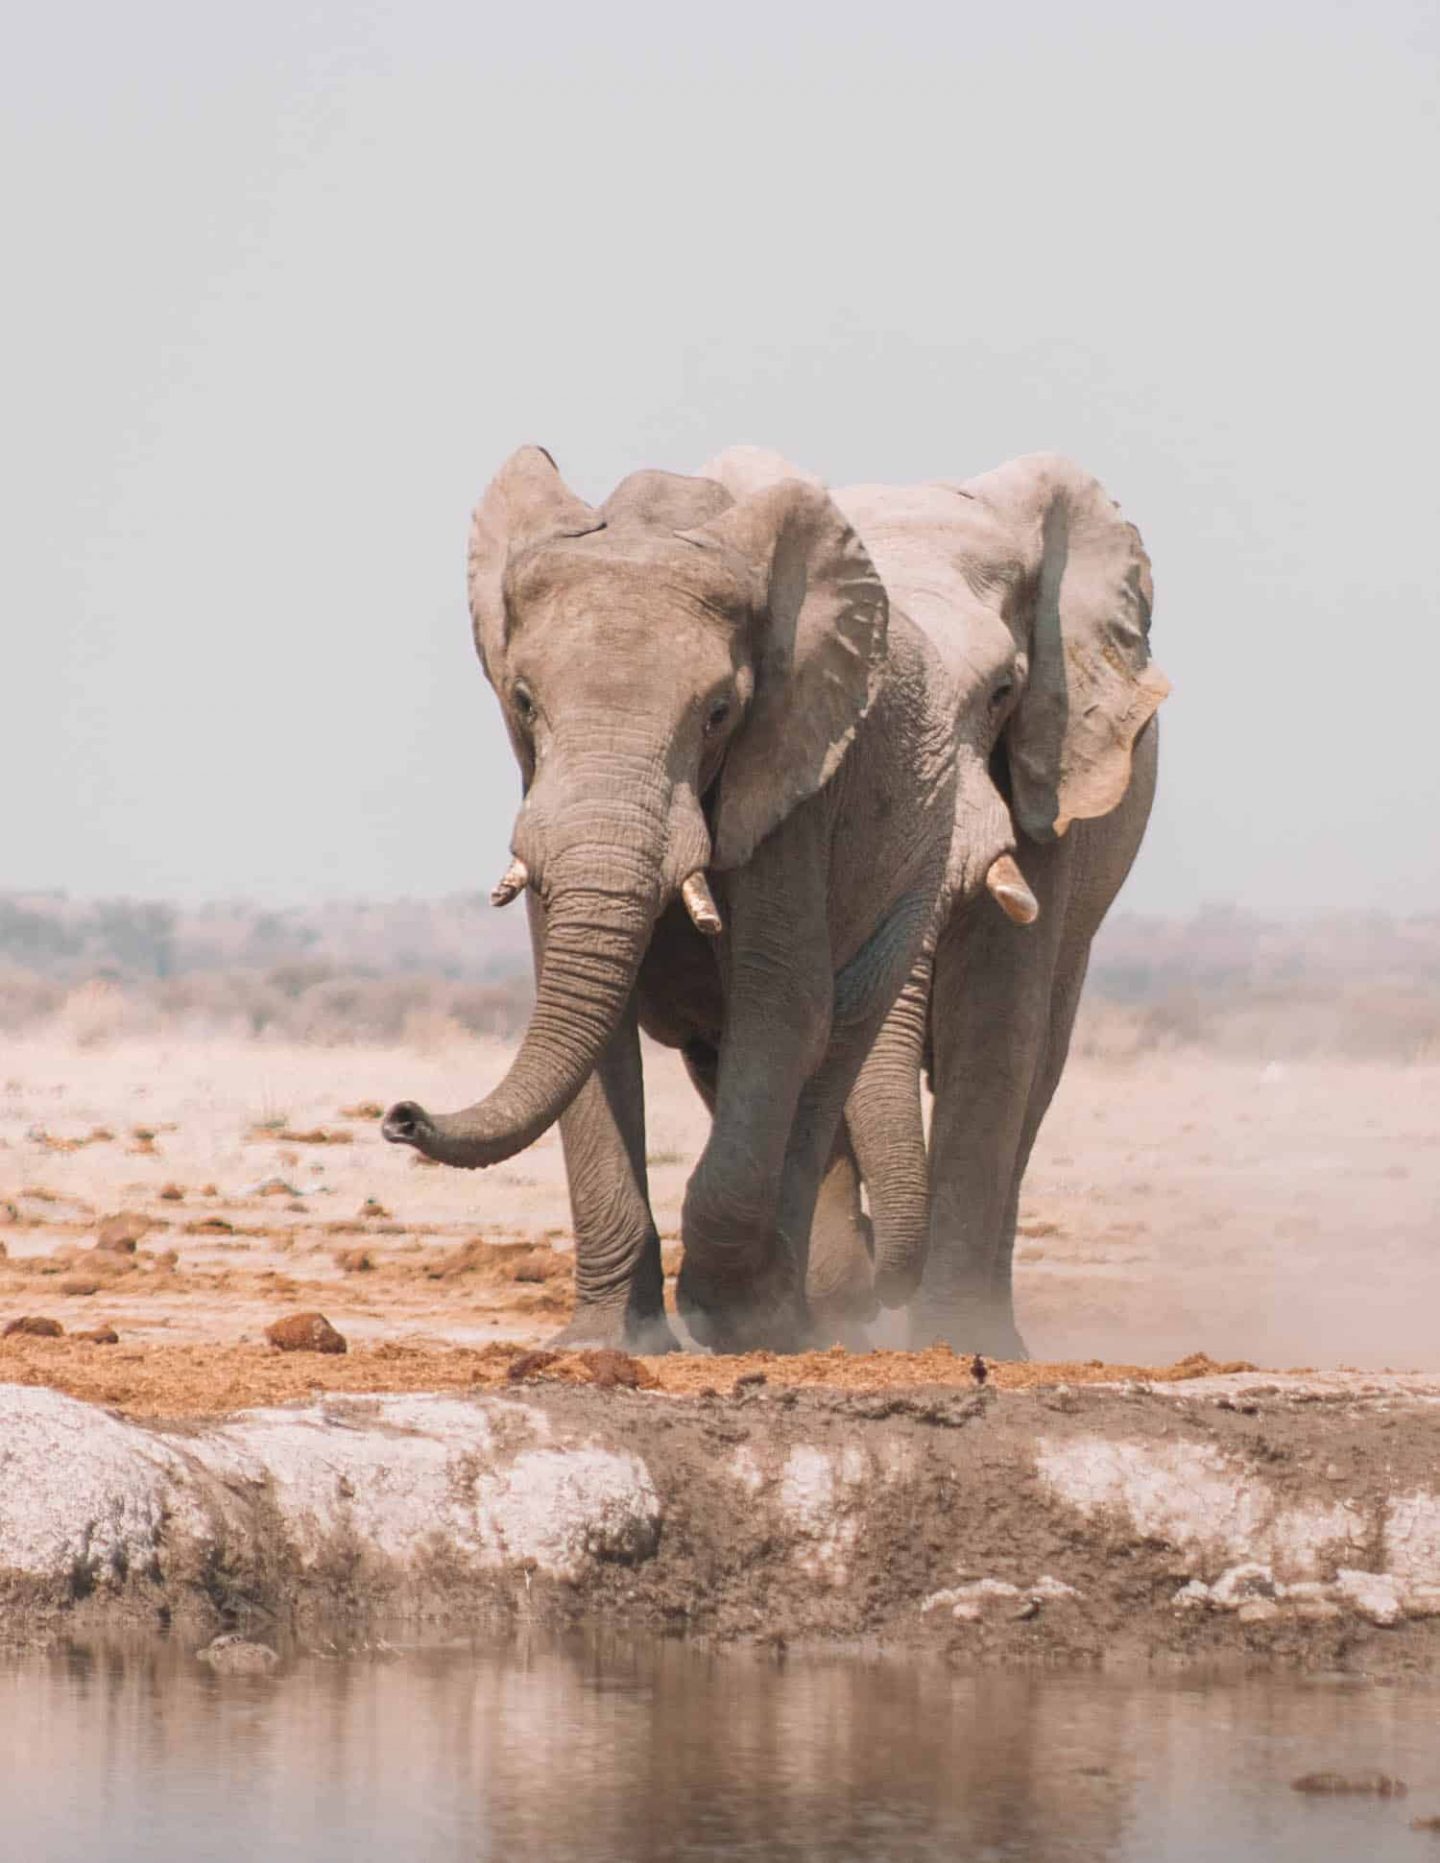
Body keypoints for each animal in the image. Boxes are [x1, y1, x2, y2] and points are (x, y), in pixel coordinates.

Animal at [376, 450, 1028, 1356]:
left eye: (719, 713)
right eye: (524, 701)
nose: (399, 1115)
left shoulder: (795, 778)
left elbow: (782, 1005)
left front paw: (729, 1316)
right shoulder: (539, 792)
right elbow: (589, 1028)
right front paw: (607, 1343)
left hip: (915, 862)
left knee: (830, 1049)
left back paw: (788, 1315)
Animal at [797, 450, 1169, 1356]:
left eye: (1003, 691)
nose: (878, 1272)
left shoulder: (1051, 764)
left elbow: (994, 1021)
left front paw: (961, 1340)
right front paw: (839, 1317)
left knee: (1039, 1072)